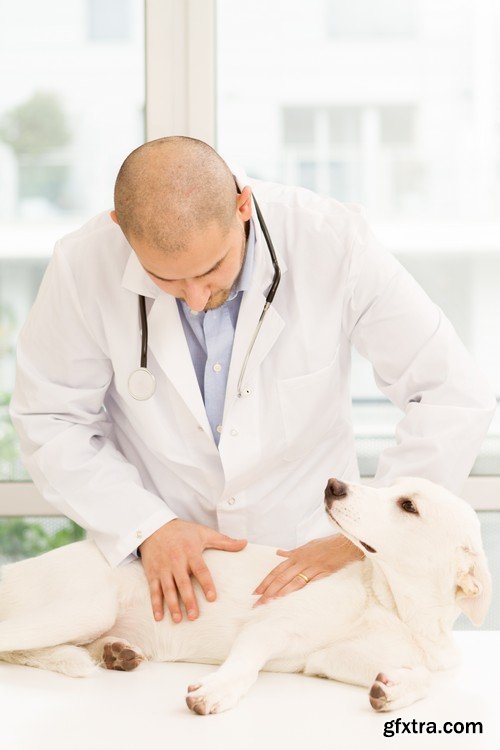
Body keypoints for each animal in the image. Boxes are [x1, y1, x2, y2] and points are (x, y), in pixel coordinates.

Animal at [0, 478, 490, 712]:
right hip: (84, 608)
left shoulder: (328, 660)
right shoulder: (268, 627)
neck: (394, 606)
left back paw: (115, 653)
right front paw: (216, 691)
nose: (334, 485)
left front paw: (397, 689)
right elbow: (244, 668)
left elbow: (426, 678)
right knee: (12, 643)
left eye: (408, 505)